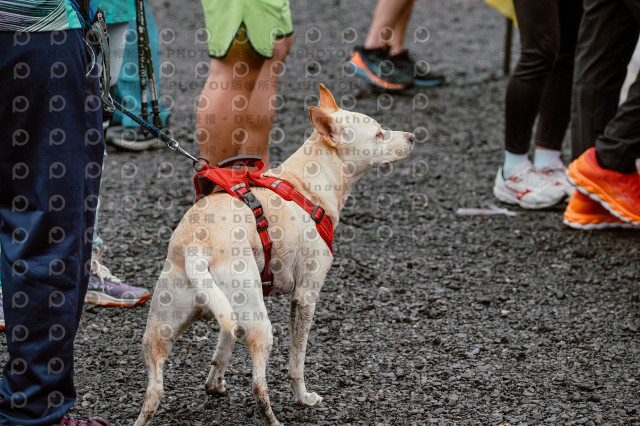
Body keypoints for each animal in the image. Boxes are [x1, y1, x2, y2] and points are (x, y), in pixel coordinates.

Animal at [134, 85, 416, 424]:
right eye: (378, 134)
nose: (413, 136)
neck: (307, 184)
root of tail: (196, 247)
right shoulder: (305, 297)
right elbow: (297, 361)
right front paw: (303, 397)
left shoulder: (232, 314)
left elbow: (224, 343)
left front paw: (214, 383)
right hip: (261, 326)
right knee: (259, 384)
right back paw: (273, 418)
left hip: (163, 329)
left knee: (154, 391)